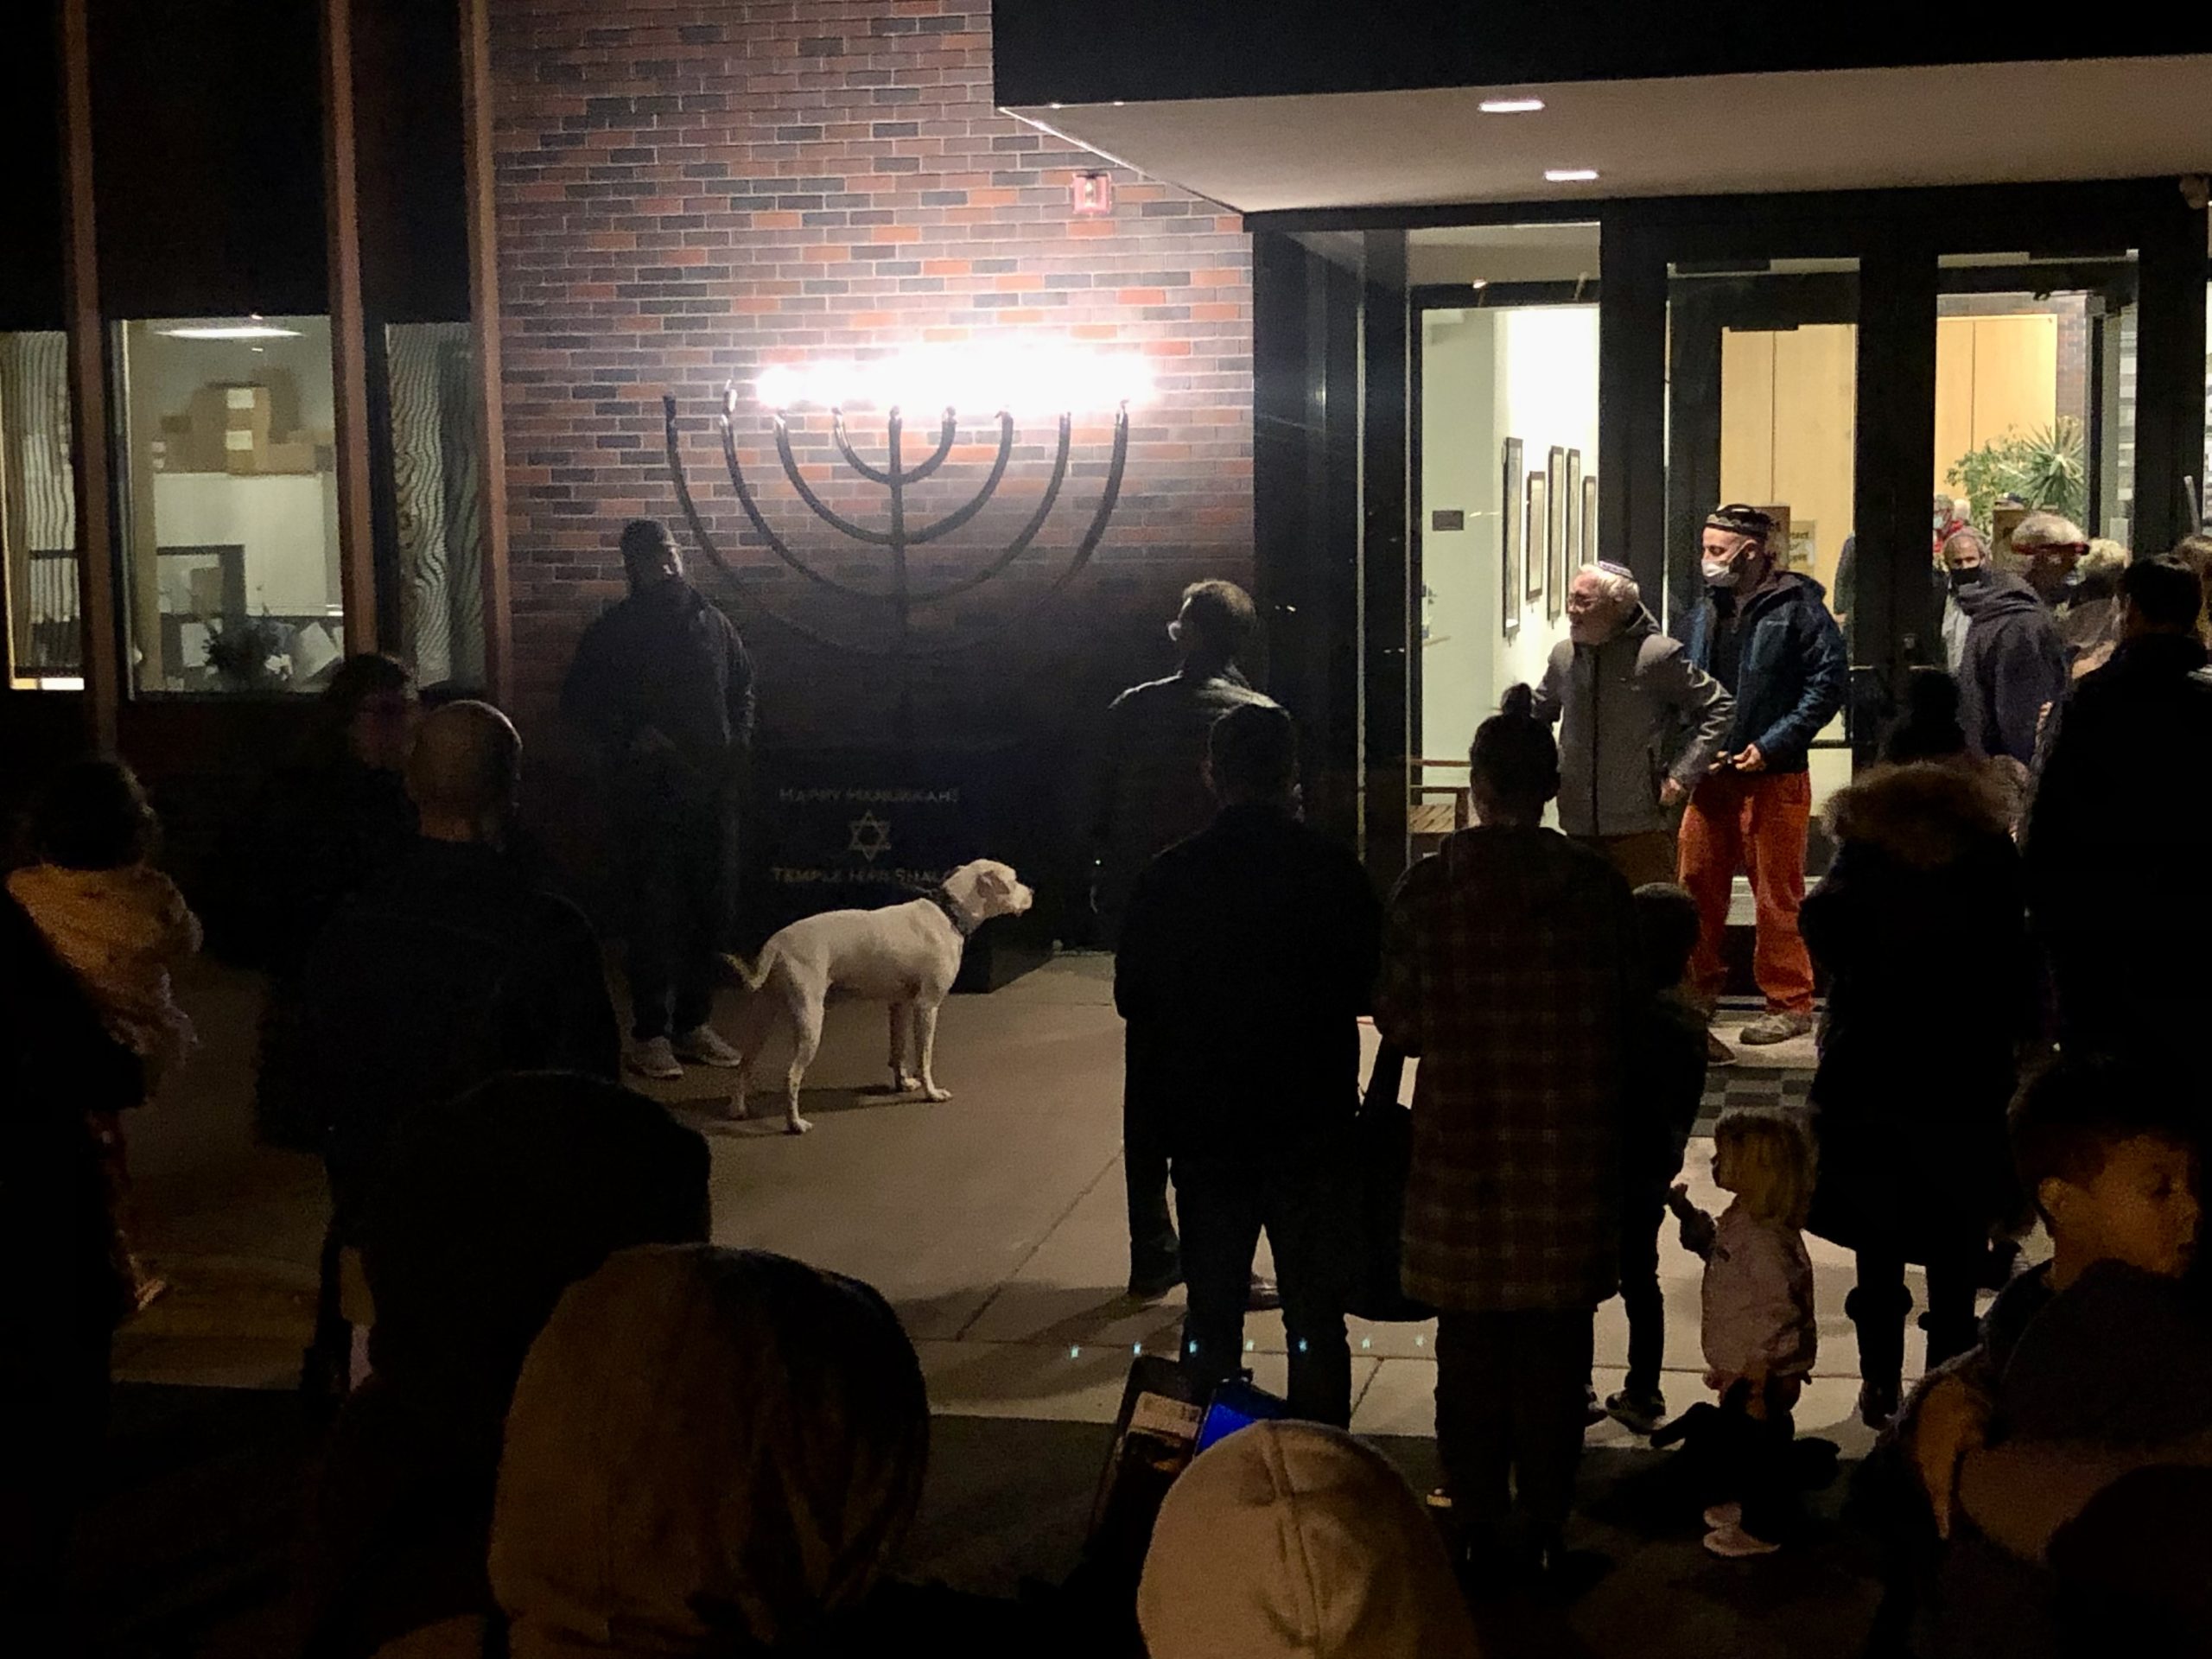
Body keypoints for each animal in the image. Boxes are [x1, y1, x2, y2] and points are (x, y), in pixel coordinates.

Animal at [725, 862, 1035, 1141]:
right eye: (1014, 880)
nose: (1032, 891)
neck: (947, 913)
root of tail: (777, 942)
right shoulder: (927, 1007)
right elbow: (924, 1057)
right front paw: (931, 1093)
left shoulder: (899, 1005)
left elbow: (898, 1051)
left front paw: (902, 1083)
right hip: (810, 1021)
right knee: (791, 1076)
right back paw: (795, 1124)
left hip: (763, 1018)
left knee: (745, 1064)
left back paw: (738, 1109)